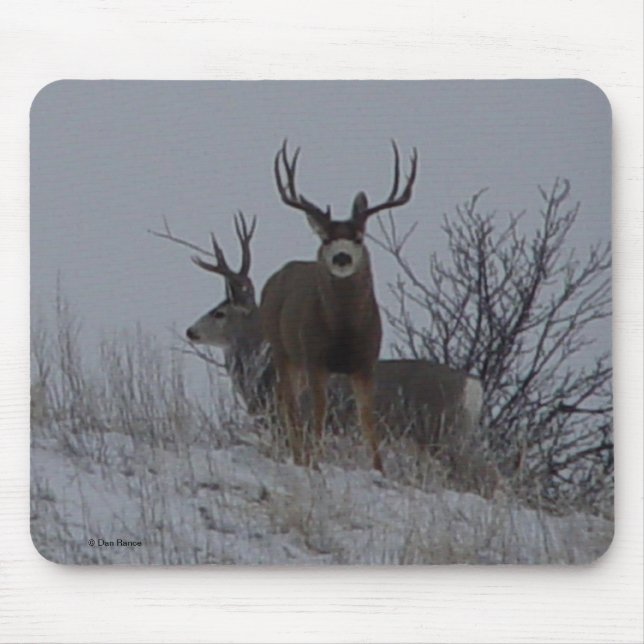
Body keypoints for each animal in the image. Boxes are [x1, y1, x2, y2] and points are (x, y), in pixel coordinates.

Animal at [259, 140, 419, 473]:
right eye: (326, 238)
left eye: (358, 237)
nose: (341, 257)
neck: (344, 331)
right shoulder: (315, 358)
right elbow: (319, 414)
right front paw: (315, 462)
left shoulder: (365, 362)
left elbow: (368, 420)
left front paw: (379, 469)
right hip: (283, 350)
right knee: (289, 404)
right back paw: (298, 455)